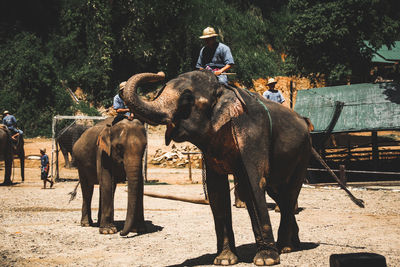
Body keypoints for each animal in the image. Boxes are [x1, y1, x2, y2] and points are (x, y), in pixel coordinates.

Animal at [122, 70, 312, 266]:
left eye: (187, 99)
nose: (159, 73)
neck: (224, 90)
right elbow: (216, 190)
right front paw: (224, 260)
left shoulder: (252, 132)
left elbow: (253, 182)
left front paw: (266, 259)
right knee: (278, 193)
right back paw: (292, 244)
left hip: (304, 152)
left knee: (289, 193)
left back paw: (285, 247)